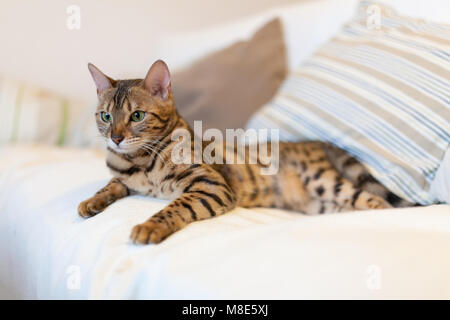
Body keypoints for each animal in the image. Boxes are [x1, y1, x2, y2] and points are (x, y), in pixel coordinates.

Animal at [79, 60, 410, 245]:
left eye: (137, 116)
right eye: (105, 116)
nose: (116, 138)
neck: (140, 161)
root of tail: (318, 141)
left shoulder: (210, 185)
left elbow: (172, 207)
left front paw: (150, 226)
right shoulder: (125, 177)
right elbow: (111, 184)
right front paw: (90, 202)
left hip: (325, 181)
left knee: (378, 201)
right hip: (319, 204)